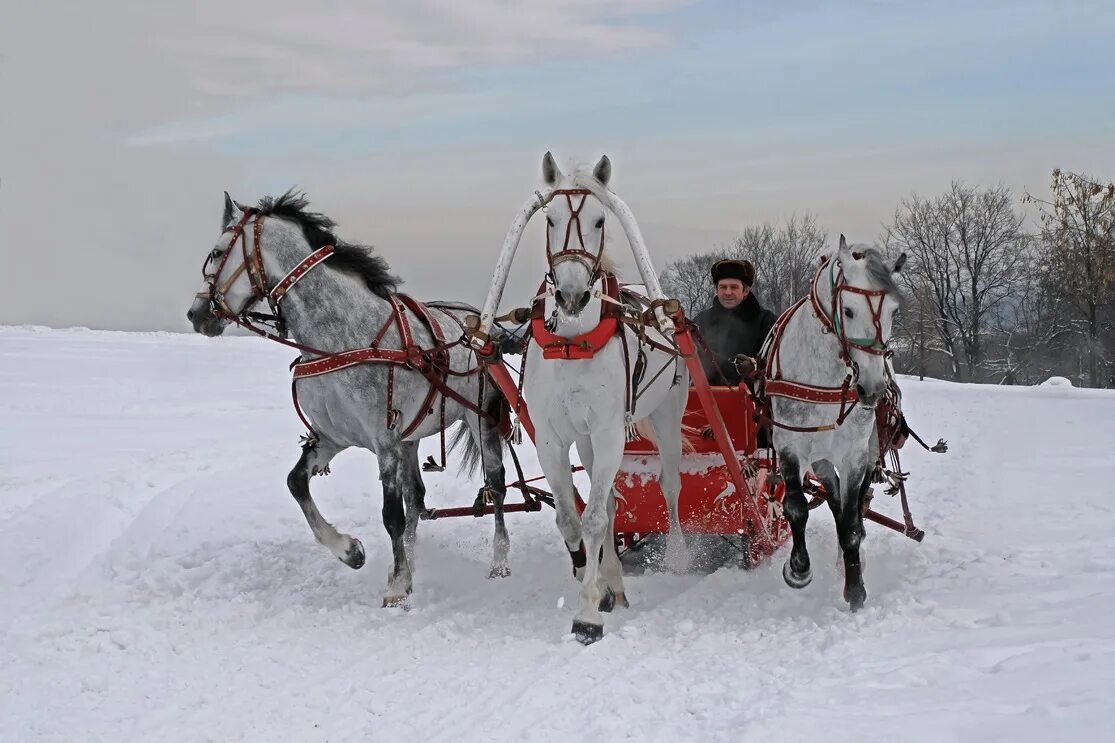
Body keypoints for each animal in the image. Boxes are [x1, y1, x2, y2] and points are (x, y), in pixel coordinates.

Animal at [519, 151, 691, 642]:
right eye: (550, 219)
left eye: (599, 220)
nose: (572, 294)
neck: (573, 342)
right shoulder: (553, 438)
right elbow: (572, 517)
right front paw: (593, 582)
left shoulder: (612, 432)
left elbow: (594, 517)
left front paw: (587, 613)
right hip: (587, 440)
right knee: (612, 500)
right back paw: (612, 582)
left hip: (668, 417)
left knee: (670, 486)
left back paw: (676, 554)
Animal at [762, 235, 909, 606]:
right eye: (849, 310)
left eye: (893, 311)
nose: (872, 387)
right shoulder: (790, 445)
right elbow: (796, 507)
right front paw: (798, 568)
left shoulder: (854, 454)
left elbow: (852, 520)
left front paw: (855, 585)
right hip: (819, 456)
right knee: (833, 498)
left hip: (865, 449)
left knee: (852, 506)